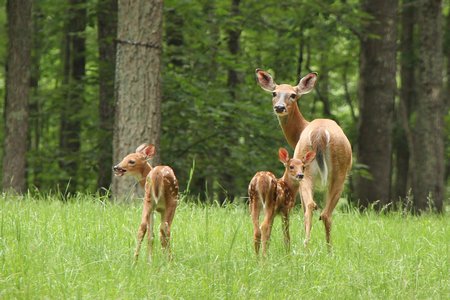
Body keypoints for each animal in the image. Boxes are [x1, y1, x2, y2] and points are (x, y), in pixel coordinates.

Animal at [255, 69, 354, 248]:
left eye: (293, 95)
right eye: (274, 93)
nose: (279, 107)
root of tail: (320, 133)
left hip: (309, 170)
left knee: (312, 207)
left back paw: (307, 245)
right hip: (337, 173)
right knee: (323, 212)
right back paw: (324, 248)